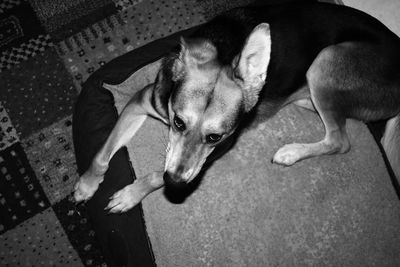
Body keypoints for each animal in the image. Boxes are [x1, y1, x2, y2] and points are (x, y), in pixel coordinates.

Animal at [73, 1, 400, 213]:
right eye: (178, 122)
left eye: (214, 137)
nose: (176, 181)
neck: (223, 48)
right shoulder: (140, 101)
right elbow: (102, 152)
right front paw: (87, 184)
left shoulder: (216, 151)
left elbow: (158, 174)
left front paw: (131, 194)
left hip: (326, 60)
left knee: (340, 140)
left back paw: (291, 153)